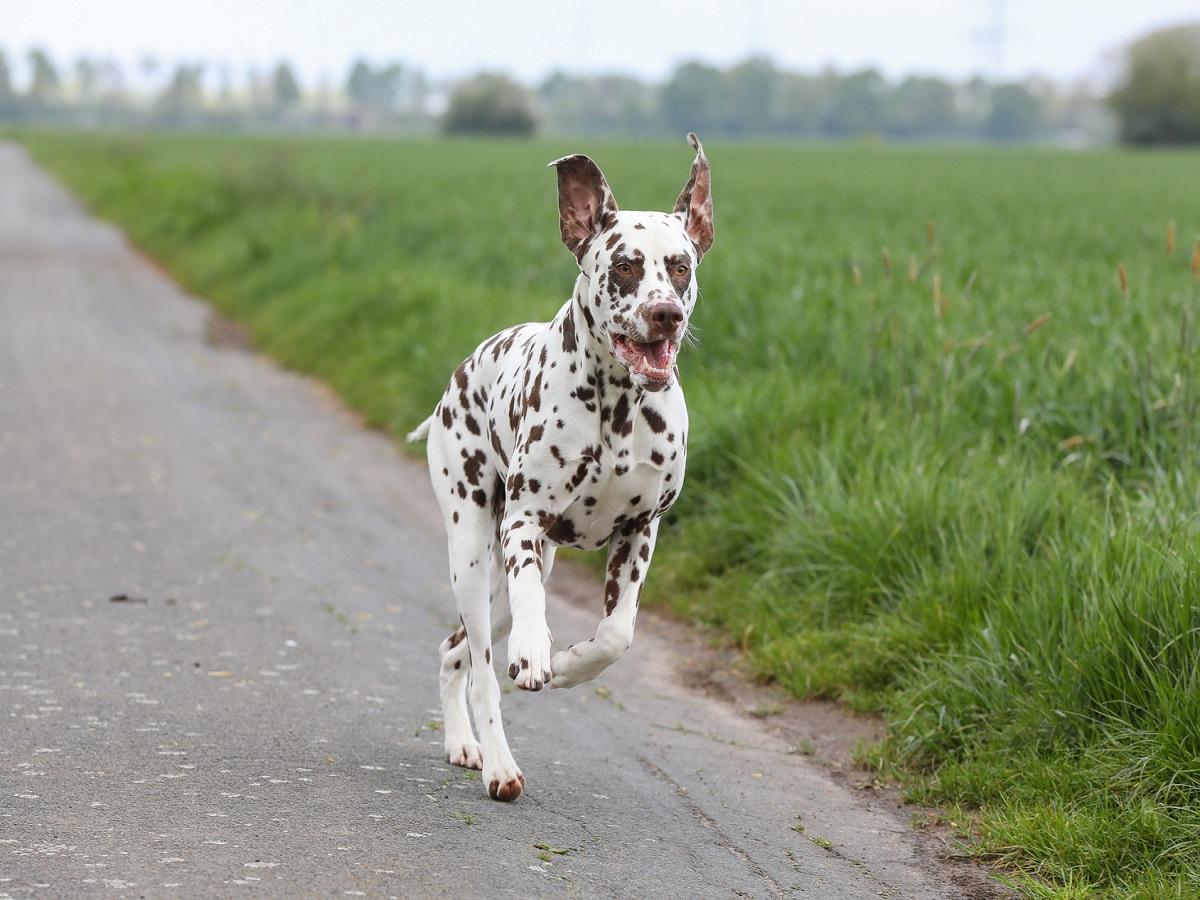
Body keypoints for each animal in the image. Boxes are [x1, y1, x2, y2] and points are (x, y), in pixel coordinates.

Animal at [408, 133, 715, 801]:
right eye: (624, 265)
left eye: (680, 265)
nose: (666, 314)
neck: (617, 407)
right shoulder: (523, 525)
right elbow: (530, 612)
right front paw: (535, 652)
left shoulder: (640, 533)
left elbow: (618, 634)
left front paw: (572, 664)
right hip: (473, 553)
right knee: (483, 667)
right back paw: (498, 762)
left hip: (504, 581)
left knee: (454, 649)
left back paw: (464, 742)